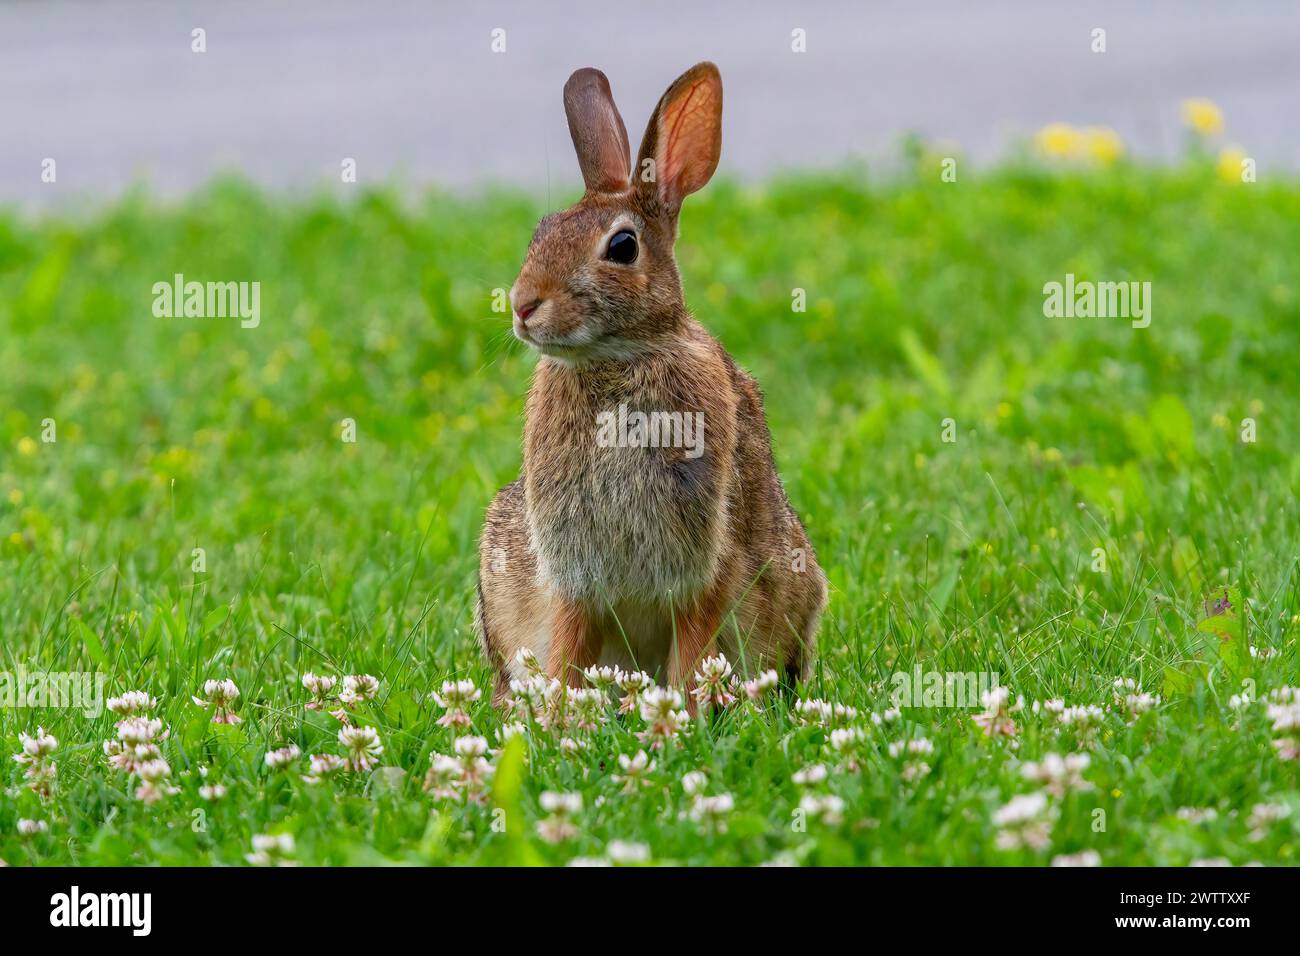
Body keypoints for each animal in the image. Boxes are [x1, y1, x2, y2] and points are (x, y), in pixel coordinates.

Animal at [477, 62, 826, 706]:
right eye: (541, 231)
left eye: (622, 246)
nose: (523, 305)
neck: (616, 360)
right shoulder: (574, 577)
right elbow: (567, 651)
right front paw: (562, 718)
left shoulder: (706, 563)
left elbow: (691, 652)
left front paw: (684, 714)